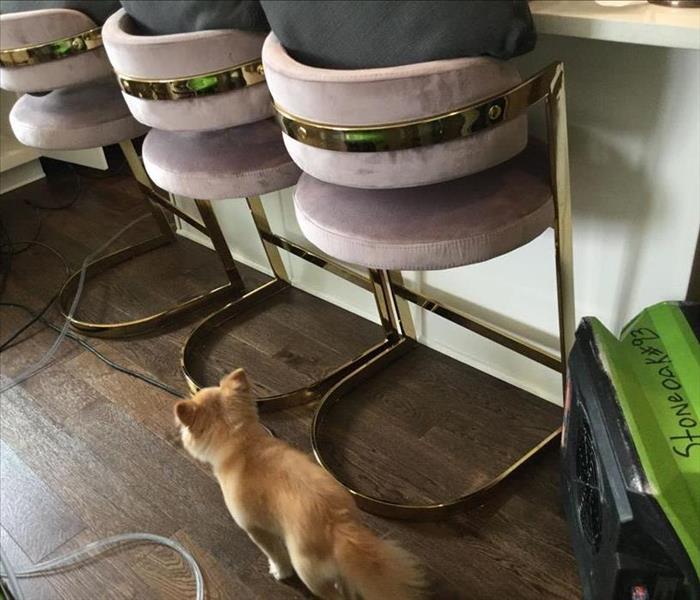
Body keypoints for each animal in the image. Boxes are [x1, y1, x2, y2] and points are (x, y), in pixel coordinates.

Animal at [175, 368, 426, 596]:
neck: (243, 443)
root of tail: (338, 526)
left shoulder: (255, 528)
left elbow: (275, 554)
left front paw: (279, 572)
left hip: (309, 573)